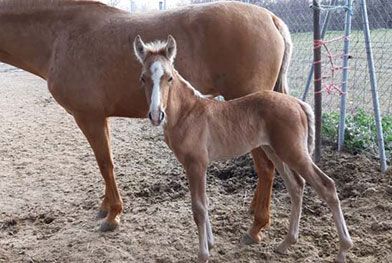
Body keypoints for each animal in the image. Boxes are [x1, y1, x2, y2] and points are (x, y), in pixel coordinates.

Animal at [133, 35, 354, 263]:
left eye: (169, 78)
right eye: (143, 78)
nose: (156, 115)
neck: (188, 113)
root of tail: (298, 103)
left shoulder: (196, 164)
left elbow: (199, 208)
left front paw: (203, 254)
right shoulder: (197, 166)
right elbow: (205, 202)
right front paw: (210, 243)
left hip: (293, 152)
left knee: (326, 186)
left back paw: (343, 249)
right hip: (274, 151)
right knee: (296, 186)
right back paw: (286, 243)